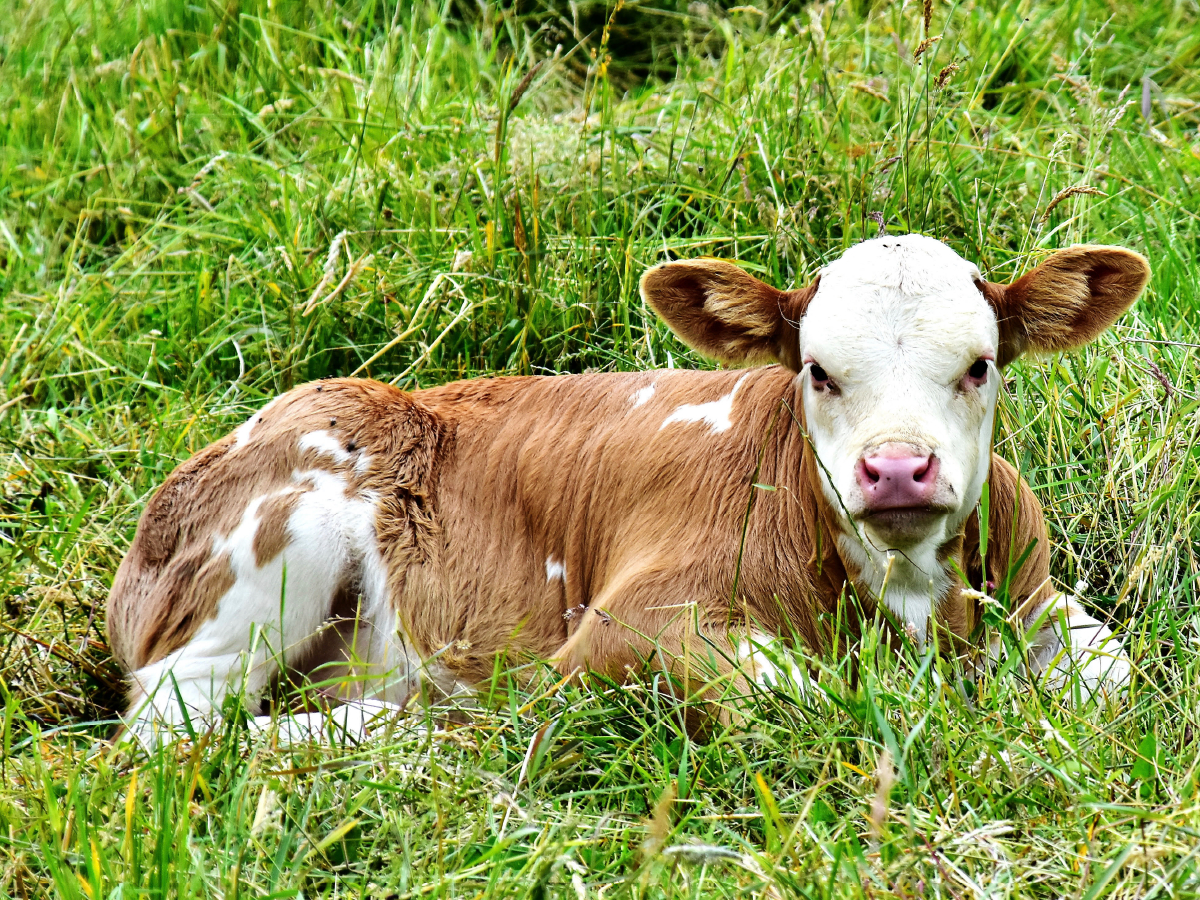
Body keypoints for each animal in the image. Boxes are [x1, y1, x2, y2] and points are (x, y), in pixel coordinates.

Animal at [108, 230, 1147, 739]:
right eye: (818, 372)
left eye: (979, 365)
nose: (896, 468)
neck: (910, 601)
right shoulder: (626, 625)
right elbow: (794, 690)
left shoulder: (1036, 590)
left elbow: (1113, 673)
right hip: (274, 550)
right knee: (179, 727)